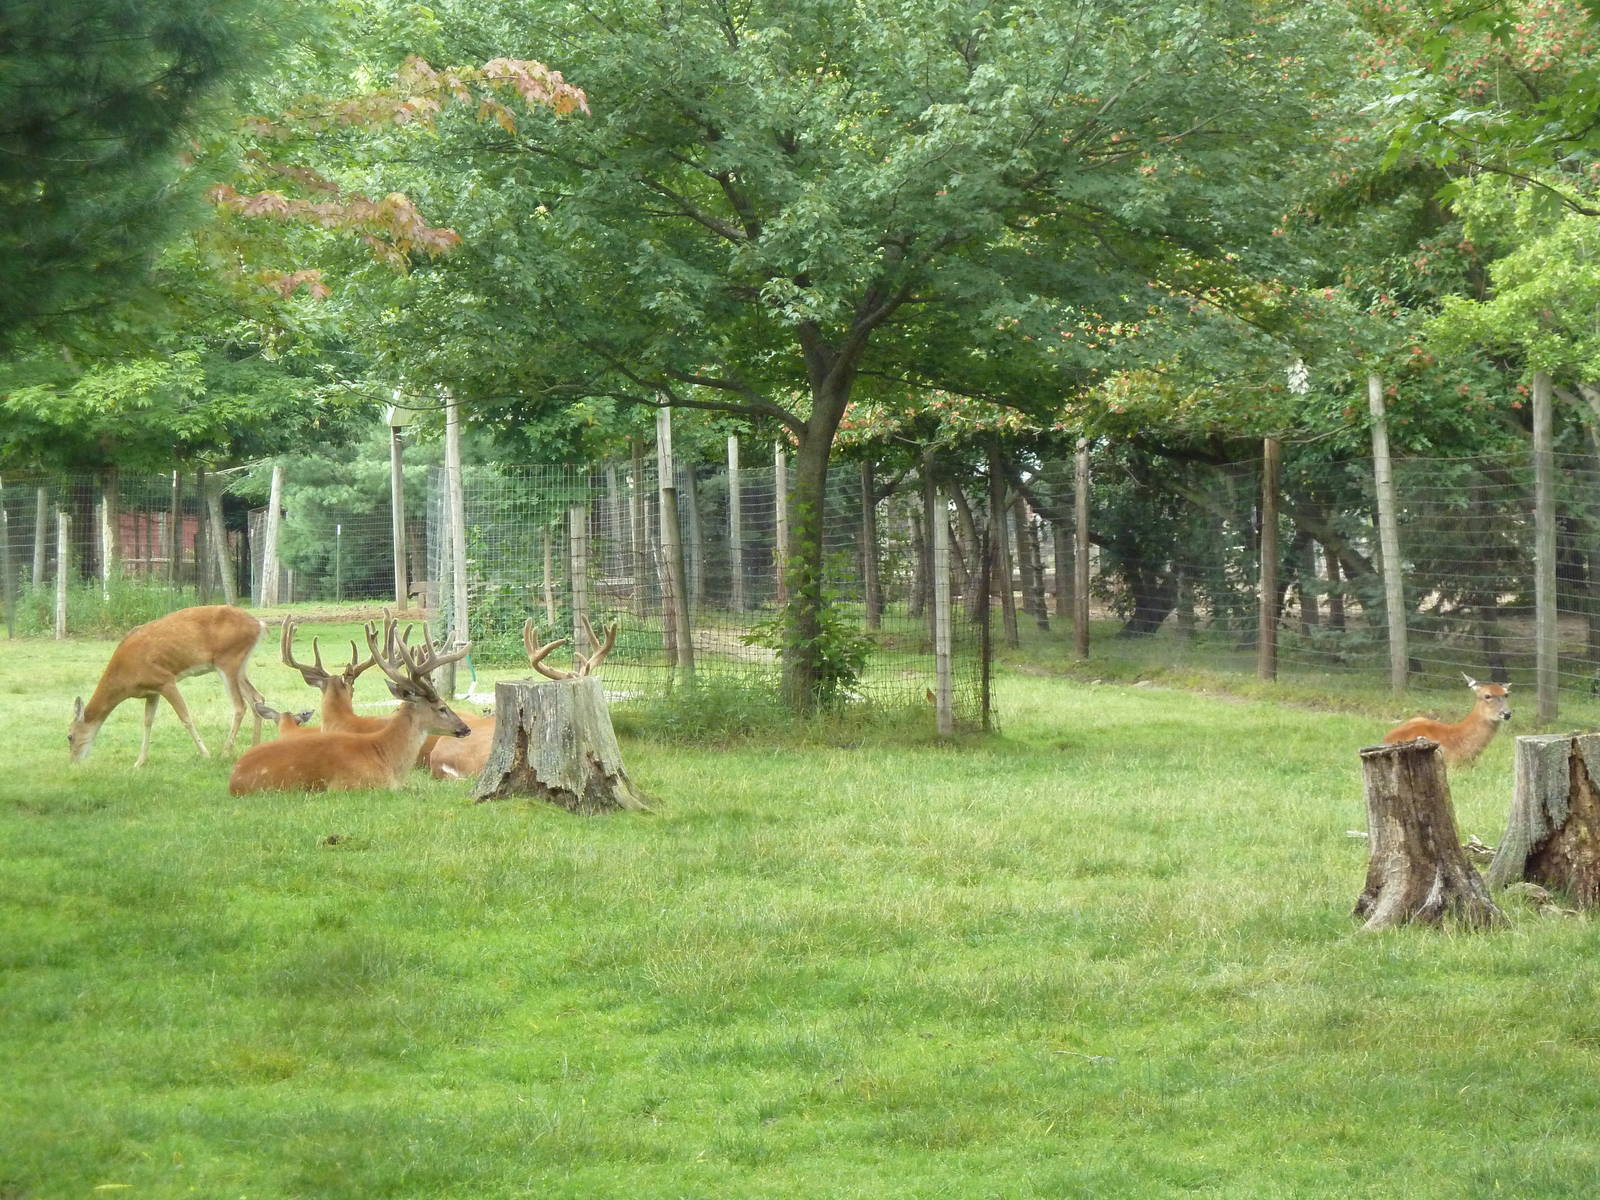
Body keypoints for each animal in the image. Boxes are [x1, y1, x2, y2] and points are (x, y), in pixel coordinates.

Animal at [69, 604, 270, 767]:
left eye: (69, 736)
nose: (74, 762)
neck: (125, 677)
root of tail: (259, 624)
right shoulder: (151, 691)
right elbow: (147, 721)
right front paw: (139, 761)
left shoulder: (165, 680)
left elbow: (185, 717)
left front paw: (205, 754)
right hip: (239, 665)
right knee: (256, 698)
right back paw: (254, 748)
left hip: (228, 660)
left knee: (240, 705)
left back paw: (225, 752)